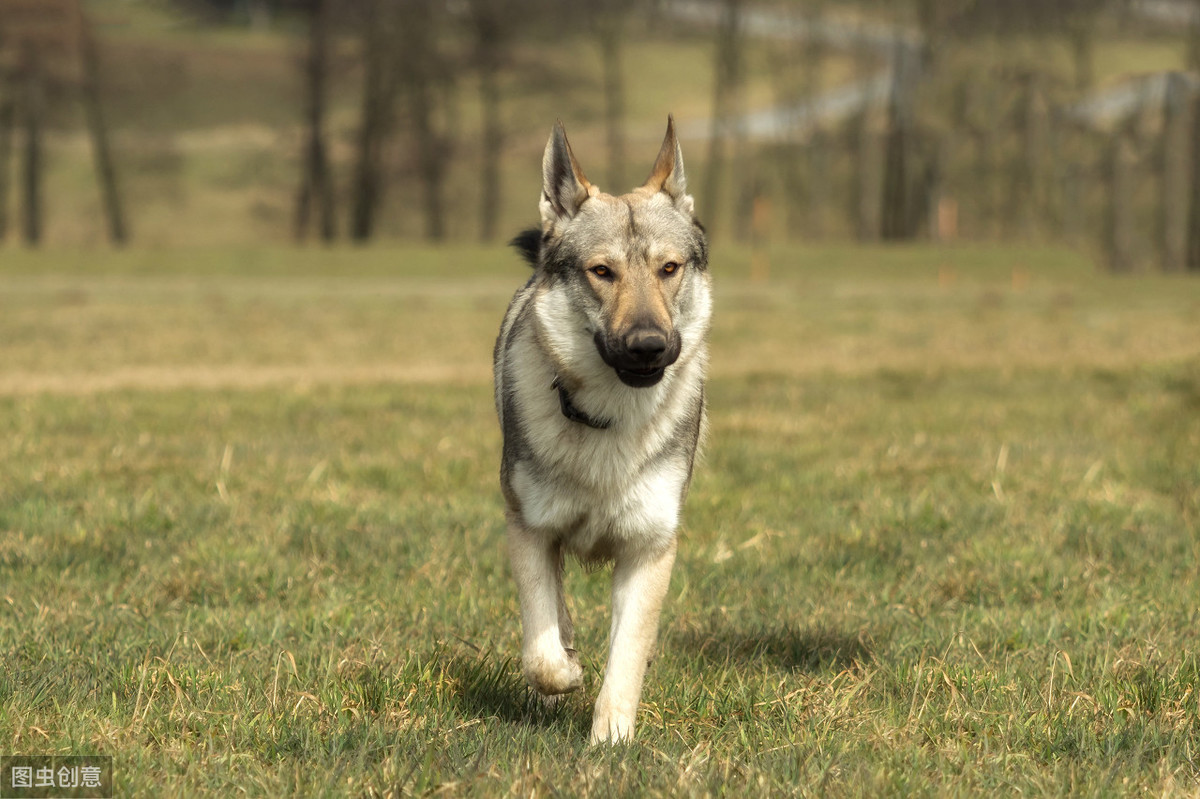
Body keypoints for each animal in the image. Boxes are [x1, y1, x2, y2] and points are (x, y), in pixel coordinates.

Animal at [489, 116, 705, 739]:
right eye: (602, 272)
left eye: (669, 268)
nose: (649, 346)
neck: (611, 418)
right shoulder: (530, 528)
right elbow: (541, 653)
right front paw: (566, 673)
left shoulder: (650, 546)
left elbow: (627, 654)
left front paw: (611, 739)